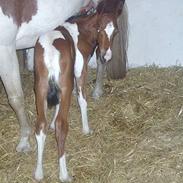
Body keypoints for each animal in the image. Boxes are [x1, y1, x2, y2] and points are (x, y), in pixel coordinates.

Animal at [33, 0, 123, 182]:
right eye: (99, 29)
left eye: (115, 31)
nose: (106, 56)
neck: (80, 31)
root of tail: (51, 53)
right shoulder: (80, 70)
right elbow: (82, 99)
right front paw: (86, 129)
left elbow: (57, 107)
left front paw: (52, 122)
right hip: (65, 84)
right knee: (62, 126)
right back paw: (64, 174)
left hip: (40, 87)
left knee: (40, 125)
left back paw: (38, 172)